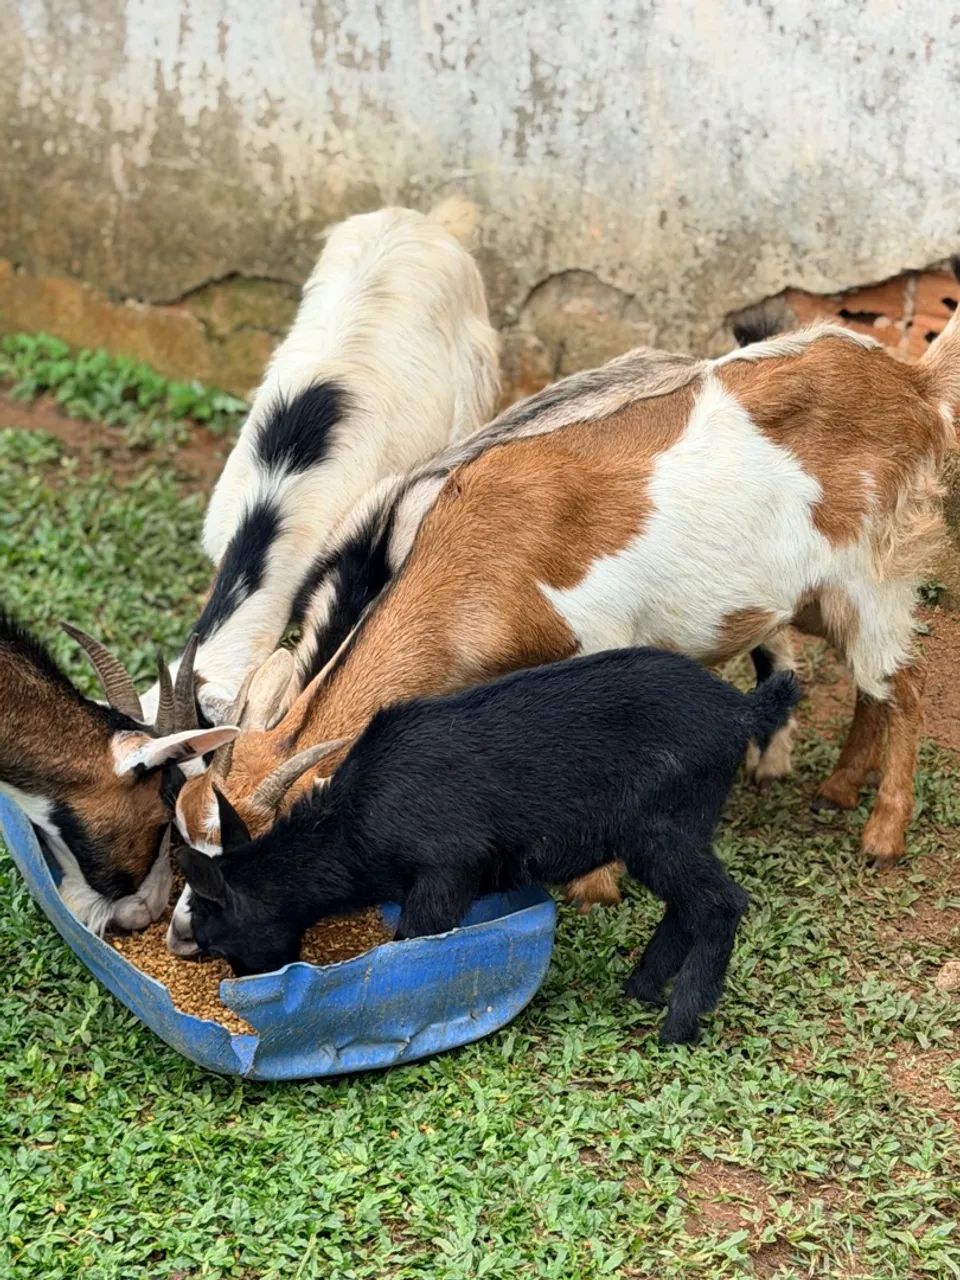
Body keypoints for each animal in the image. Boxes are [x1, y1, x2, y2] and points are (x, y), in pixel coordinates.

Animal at [171, 315, 958, 948]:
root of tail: (913, 383)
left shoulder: (599, 647)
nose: (182, 933)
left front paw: (594, 888)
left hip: (874, 573)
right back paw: (838, 789)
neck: (482, 557)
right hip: (819, 596)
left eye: (258, 842)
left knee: (908, 683)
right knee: (872, 686)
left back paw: (882, 834)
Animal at [179, 648, 800, 1043]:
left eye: (216, 929)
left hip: (661, 830)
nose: (239, 981)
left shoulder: (446, 870)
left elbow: (413, 945)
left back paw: (677, 1026)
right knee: (684, 907)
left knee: (719, 903)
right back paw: (641, 989)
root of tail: (741, 711)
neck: (356, 819)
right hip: (679, 829)